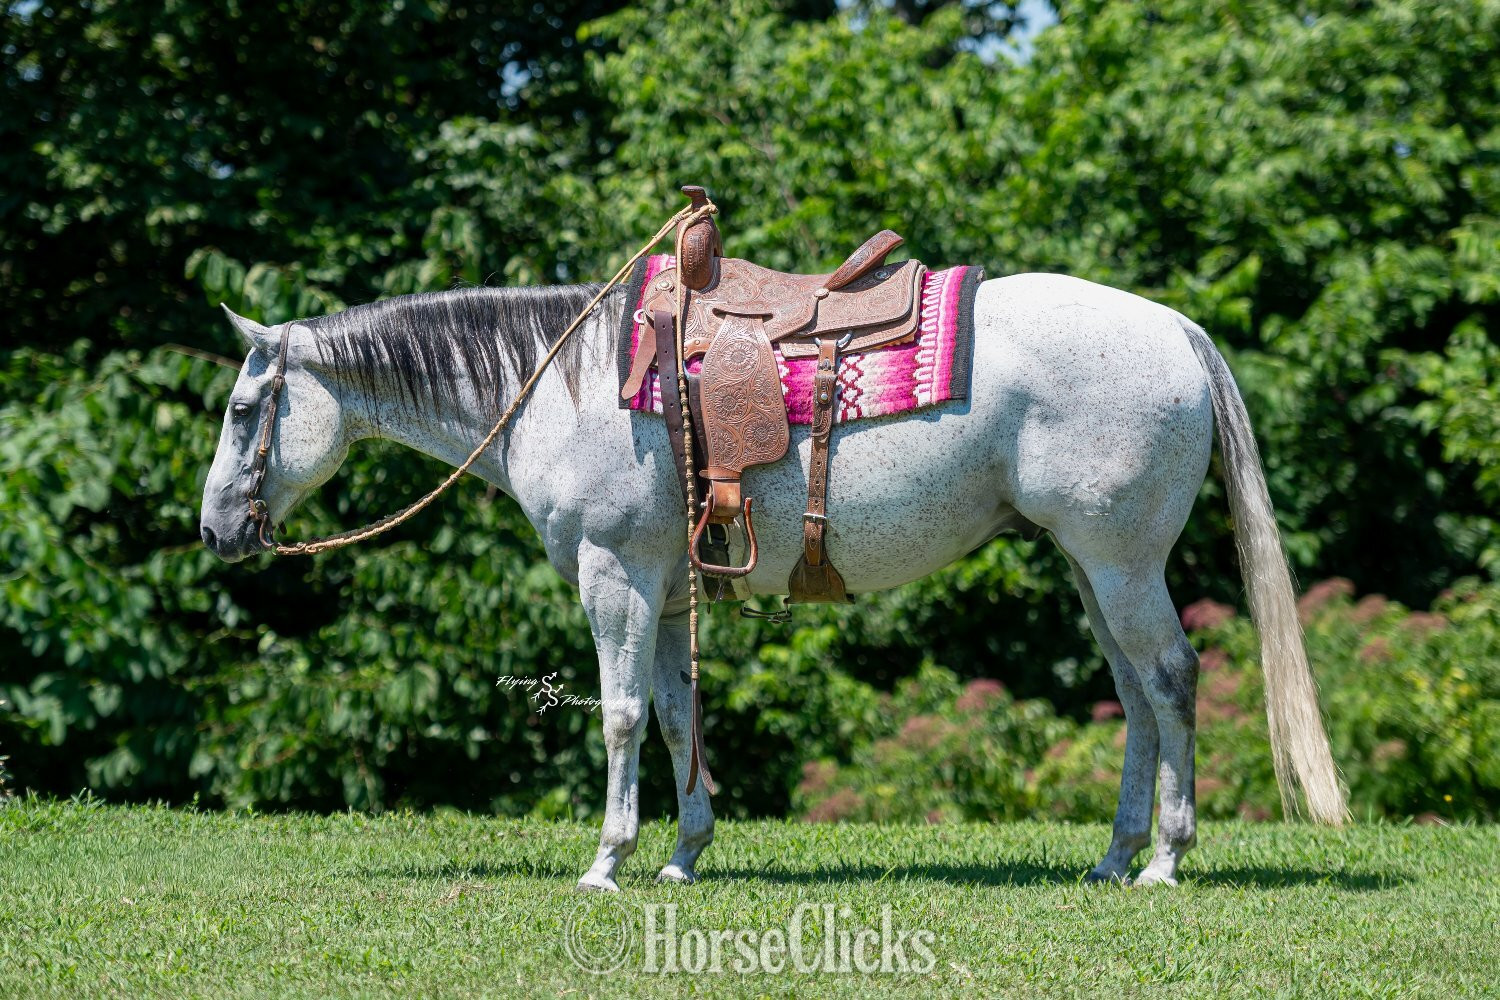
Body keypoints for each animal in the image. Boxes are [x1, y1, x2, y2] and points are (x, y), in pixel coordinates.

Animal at [199, 271, 1348, 891]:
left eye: (246, 411)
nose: (216, 530)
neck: (563, 386)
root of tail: (1176, 329)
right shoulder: (664, 585)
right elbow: (674, 714)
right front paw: (682, 852)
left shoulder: (615, 573)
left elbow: (620, 714)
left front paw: (607, 860)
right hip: (1090, 564)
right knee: (1136, 695)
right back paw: (1115, 857)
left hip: (1120, 559)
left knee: (1172, 681)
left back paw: (1164, 861)